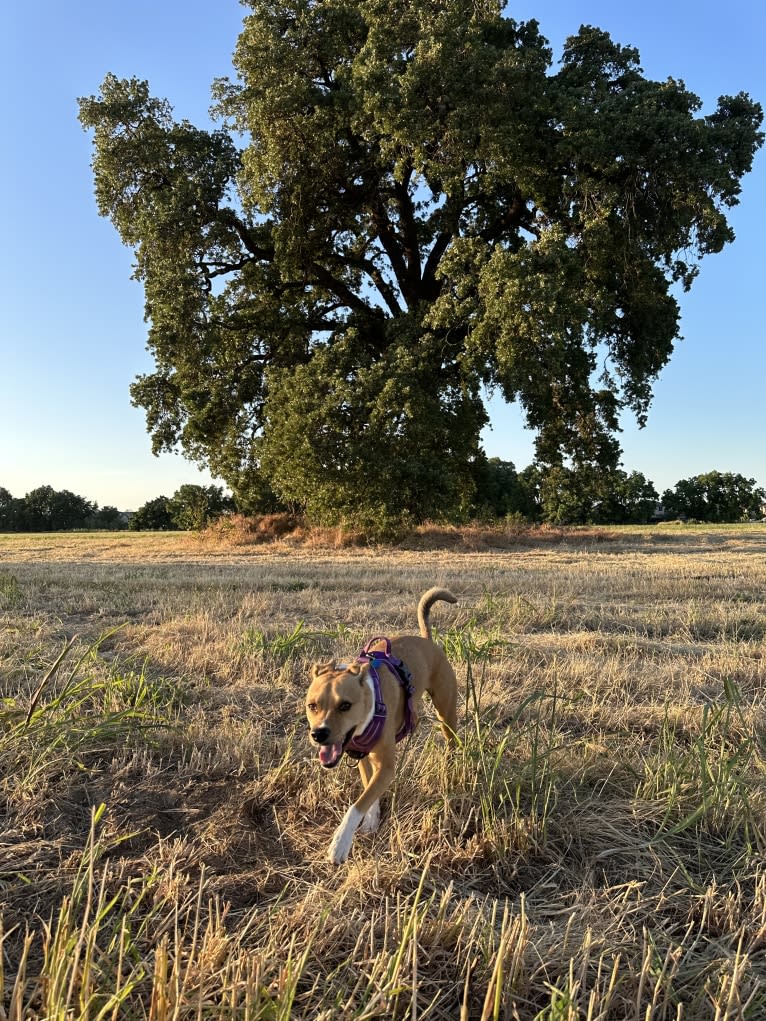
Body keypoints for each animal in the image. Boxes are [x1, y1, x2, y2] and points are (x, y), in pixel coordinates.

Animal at [308, 588, 461, 865]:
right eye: (312, 706)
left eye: (345, 705)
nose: (319, 734)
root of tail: (427, 640)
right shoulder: (364, 759)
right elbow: (370, 792)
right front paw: (371, 820)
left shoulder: (387, 766)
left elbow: (357, 804)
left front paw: (340, 842)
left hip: (446, 711)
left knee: (452, 738)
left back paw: (452, 765)